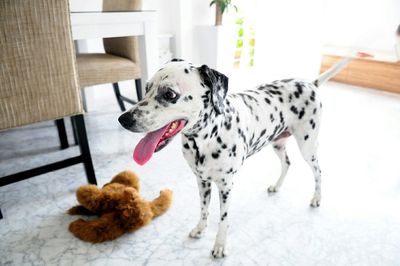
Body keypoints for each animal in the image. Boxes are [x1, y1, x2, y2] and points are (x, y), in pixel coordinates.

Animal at [118, 57, 350, 258]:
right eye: (146, 88)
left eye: (170, 94)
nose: (123, 119)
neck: (208, 138)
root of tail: (310, 83)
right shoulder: (202, 181)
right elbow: (204, 210)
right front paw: (200, 229)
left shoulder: (226, 186)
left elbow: (223, 219)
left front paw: (219, 245)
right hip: (278, 143)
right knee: (287, 163)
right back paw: (276, 186)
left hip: (307, 146)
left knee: (318, 171)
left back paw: (317, 198)